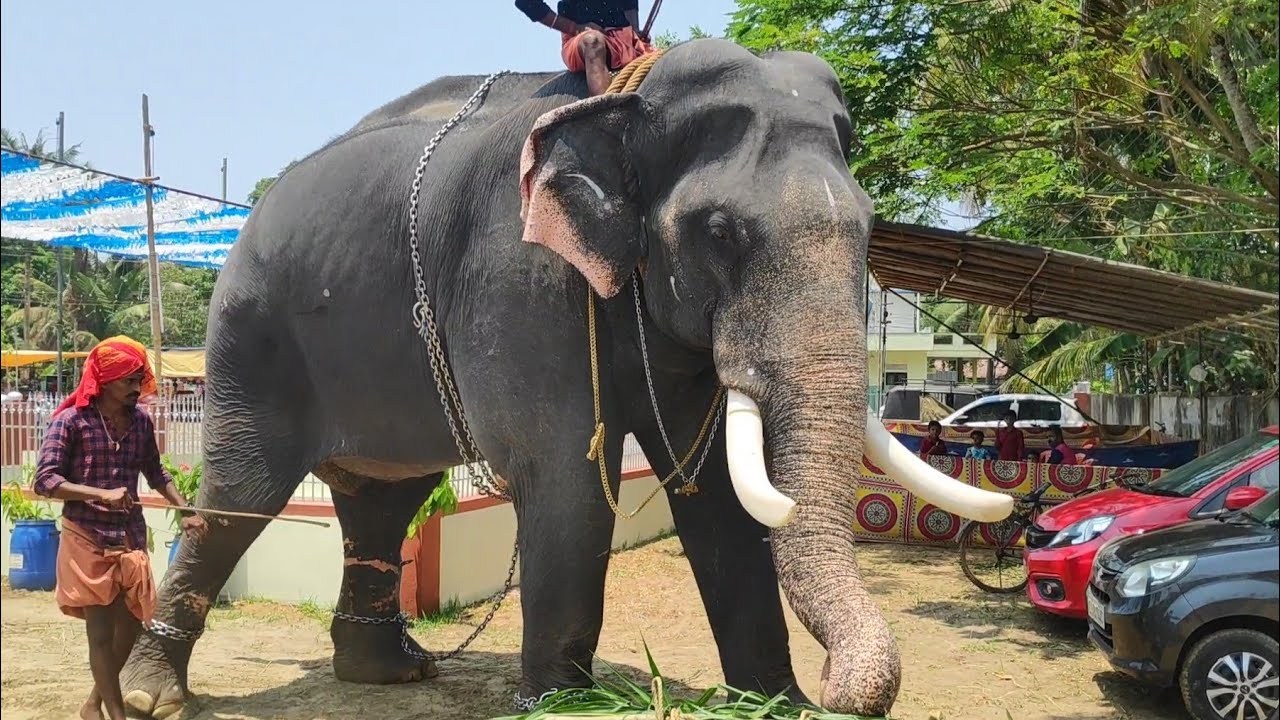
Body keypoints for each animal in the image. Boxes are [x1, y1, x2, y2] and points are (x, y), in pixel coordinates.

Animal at [119, 38, 1013, 718]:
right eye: (720, 230)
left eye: (868, 228)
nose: (835, 690)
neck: (621, 106)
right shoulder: (520, 277)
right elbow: (568, 481)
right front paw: (563, 708)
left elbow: (714, 491)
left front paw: (772, 705)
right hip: (253, 335)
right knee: (238, 492)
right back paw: (150, 695)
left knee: (384, 500)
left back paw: (392, 672)